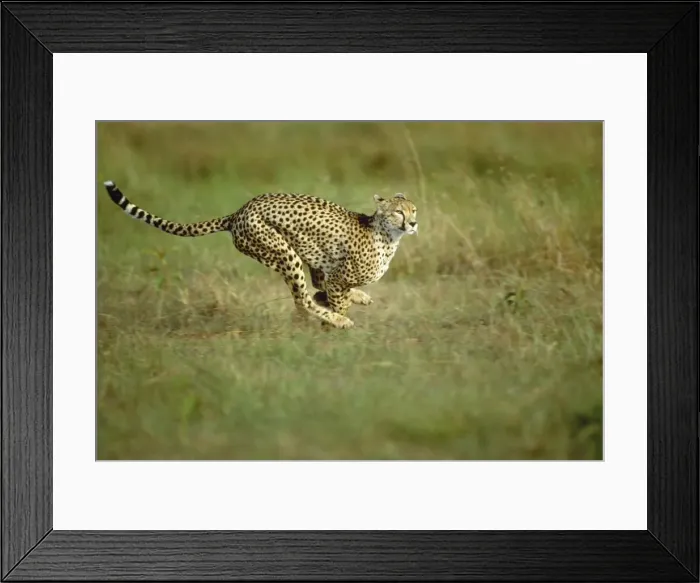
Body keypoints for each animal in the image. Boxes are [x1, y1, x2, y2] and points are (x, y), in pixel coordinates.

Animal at [103, 181, 418, 329]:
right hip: (284, 252)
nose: (413, 223)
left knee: (310, 289)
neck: (387, 235)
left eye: (413, 209)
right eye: (398, 212)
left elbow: (327, 288)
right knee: (301, 299)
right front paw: (335, 322)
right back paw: (337, 319)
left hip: (296, 249)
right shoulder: (337, 277)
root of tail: (239, 211)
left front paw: (352, 300)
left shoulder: (328, 268)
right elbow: (333, 298)